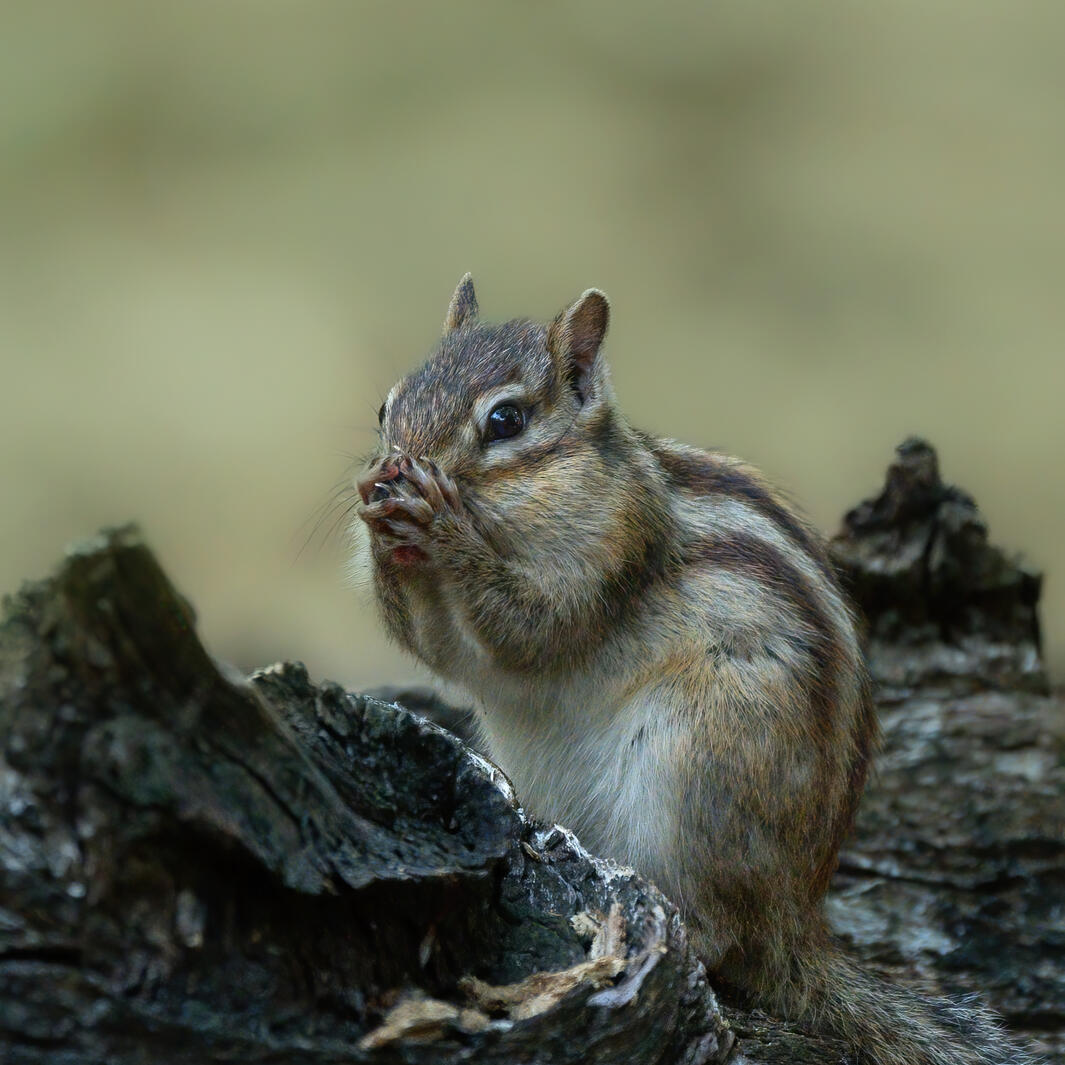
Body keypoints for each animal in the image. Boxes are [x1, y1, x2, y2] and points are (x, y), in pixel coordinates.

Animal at [354, 275, 1034, 1065]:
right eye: (386, 407)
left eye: (505, 420)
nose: (391, 468)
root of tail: (793, 918)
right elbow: (435, 647)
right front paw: (383, 525)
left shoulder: (612, 549)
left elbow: (532, 632)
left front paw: (444, 526)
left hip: (697, 764)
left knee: (720, 936)